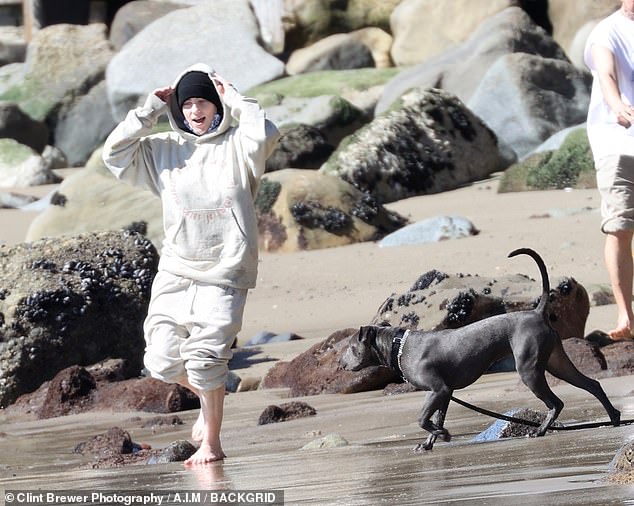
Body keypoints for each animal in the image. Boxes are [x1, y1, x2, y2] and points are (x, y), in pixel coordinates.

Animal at [338, 249, 620, 450]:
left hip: (530, 370)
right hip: (557, 362)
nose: (341, 364)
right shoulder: (445, 393)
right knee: (592, 384)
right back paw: (614, 417)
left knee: (556, 402)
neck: (399, 346)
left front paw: (441, 434)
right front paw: (430, 442)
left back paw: (539, 430)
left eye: (351, 347)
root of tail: (537, 312)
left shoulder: (438, 390)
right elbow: (436, 418)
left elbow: (422, 419)